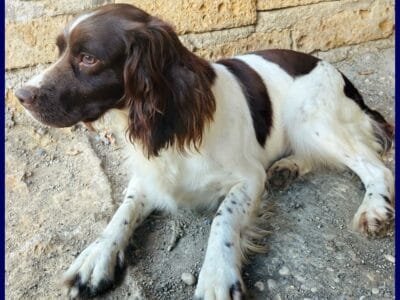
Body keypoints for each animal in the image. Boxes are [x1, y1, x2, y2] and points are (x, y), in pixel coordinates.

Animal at [15, 2, 394, 300]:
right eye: (60, 50)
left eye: (88, 58)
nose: (20, 95)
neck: (174, 126)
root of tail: (340, 75)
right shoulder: (150, 176)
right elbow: (122, 212)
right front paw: (96, 257)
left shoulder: (248, 178)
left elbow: (223, 219)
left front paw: (217, 276)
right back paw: (287, 167)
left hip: (314, 120)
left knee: (377, 167)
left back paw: (374, 208)